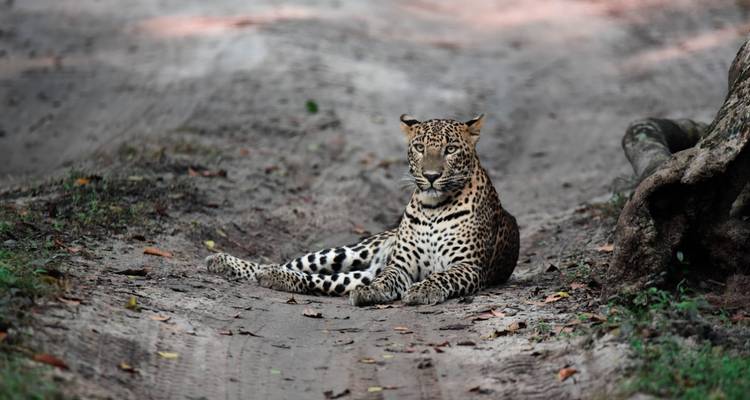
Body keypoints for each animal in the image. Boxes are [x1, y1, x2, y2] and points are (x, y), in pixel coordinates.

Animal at [205, 114, 519, 306]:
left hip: (361, 269)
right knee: (295, 266)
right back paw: (227, 263)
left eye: (451, 149)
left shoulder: (468, 266)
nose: (431, 176)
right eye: (419, 147)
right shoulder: (399, 265)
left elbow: (441, 275)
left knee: (325, 281)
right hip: (351, 252)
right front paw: (375, 291)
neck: (433, 208)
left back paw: (271, 277)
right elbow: (388, 279)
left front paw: (422, 289)